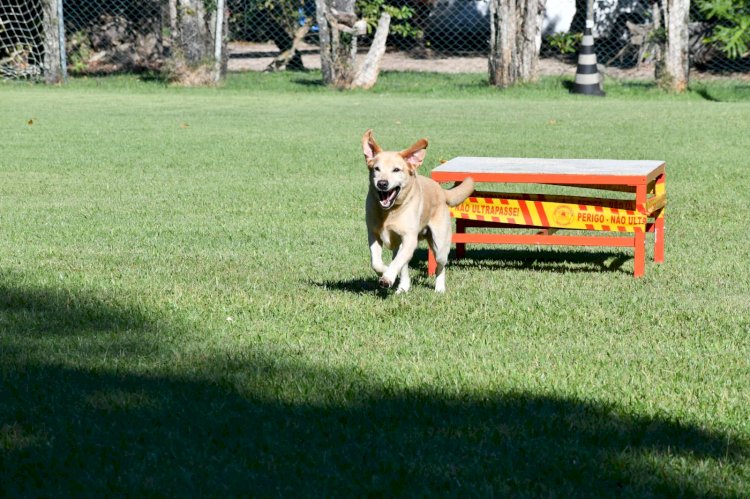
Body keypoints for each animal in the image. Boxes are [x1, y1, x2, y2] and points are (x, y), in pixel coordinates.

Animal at [364, 130, 476, 292]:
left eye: (396, 169)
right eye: (376, 169)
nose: (382, 183)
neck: (390, 212)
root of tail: (441, 191)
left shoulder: (409, 238)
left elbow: (397, 262)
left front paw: (387, 277)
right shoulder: (374, 234)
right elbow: (376, 262)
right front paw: (385, 271)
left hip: (440, 244)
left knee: (440, 266)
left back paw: (439, 288)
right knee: (403, 265)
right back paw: (403, 287)